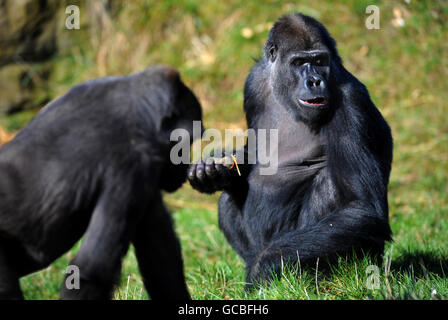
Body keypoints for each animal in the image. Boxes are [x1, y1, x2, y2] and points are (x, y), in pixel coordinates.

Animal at [187, 13, 394, 288]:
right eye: (299, 63)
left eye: (319, 61)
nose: (315, 81)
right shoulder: (254, 81)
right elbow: (249, 156)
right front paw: (213, 169)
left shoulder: (351, 102)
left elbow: (363, 207)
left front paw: (261, 266)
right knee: (227, 199)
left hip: (366, 259)